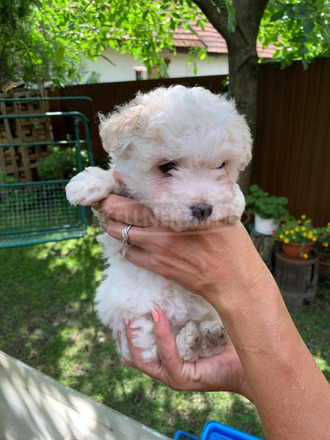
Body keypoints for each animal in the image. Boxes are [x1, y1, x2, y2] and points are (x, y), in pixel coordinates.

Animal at [65, 85, 251, 360]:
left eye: (221, 166)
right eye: (167, 167)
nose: (204, 209)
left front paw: (235, 201)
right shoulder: (113, 231)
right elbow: (116, 184)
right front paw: (89, 183)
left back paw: (202, 338)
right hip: (137, 318)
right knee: (158, 349)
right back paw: (193, 339)